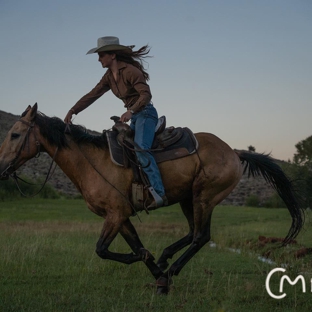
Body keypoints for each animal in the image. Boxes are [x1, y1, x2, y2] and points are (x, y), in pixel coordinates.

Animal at [0, 105, 304, 294]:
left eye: (15, 134)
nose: (2, 167)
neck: (93, 162)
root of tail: (234, 152)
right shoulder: (120, 217)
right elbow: (131, 246)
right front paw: (156, 270)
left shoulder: (115, 215)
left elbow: (103, 249)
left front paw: (157, 269)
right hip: (187, 199)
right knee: (193, 232)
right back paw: (167, 259)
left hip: (204, 197)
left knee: (201, 236)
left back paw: (172, 269)